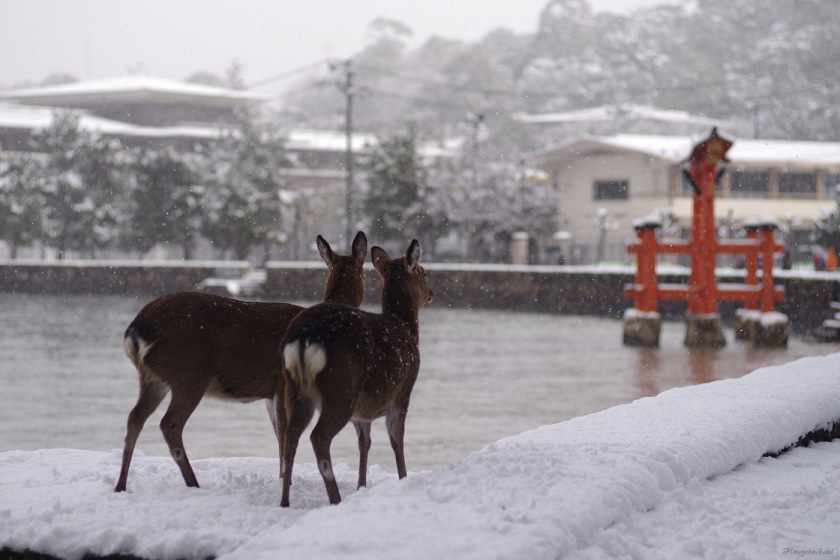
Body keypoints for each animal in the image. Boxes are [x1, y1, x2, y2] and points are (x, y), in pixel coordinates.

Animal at [114, 230, 368, 492]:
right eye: (365, 272)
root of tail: (135, 331)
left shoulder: (272, 392)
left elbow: (279, 431)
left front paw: (281, 478)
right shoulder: (284, 384)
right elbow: (286, 431)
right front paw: (285, 480)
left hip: (154, 376)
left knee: (135, 417)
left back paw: (121, 485)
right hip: (189, 373)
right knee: (169, 423)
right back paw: (193, 482)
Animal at [280, 238, 434, 506]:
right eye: (424, 273)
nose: (433, 293)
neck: (406, 328)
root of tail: (304, 339)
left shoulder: (364, 409)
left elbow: (365, 441)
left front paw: (361, 486)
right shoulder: (402, 391)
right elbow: (396, 439)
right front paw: (403, 479)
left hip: (295, 390)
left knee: (290, 437)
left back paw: (285, 503)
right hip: (341, 391)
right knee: (318, 437)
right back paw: (335, 499)